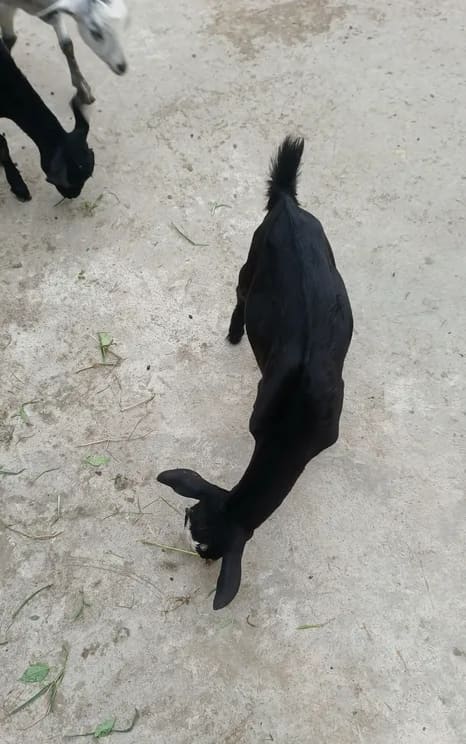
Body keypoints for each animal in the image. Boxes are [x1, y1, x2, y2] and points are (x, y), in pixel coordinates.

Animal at [158, 137, 354, 610]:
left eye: (207, 552)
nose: (196, 553)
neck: (292, 432)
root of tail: (286, 205)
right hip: (252, 259)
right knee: (241, 296)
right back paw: (234, 334)